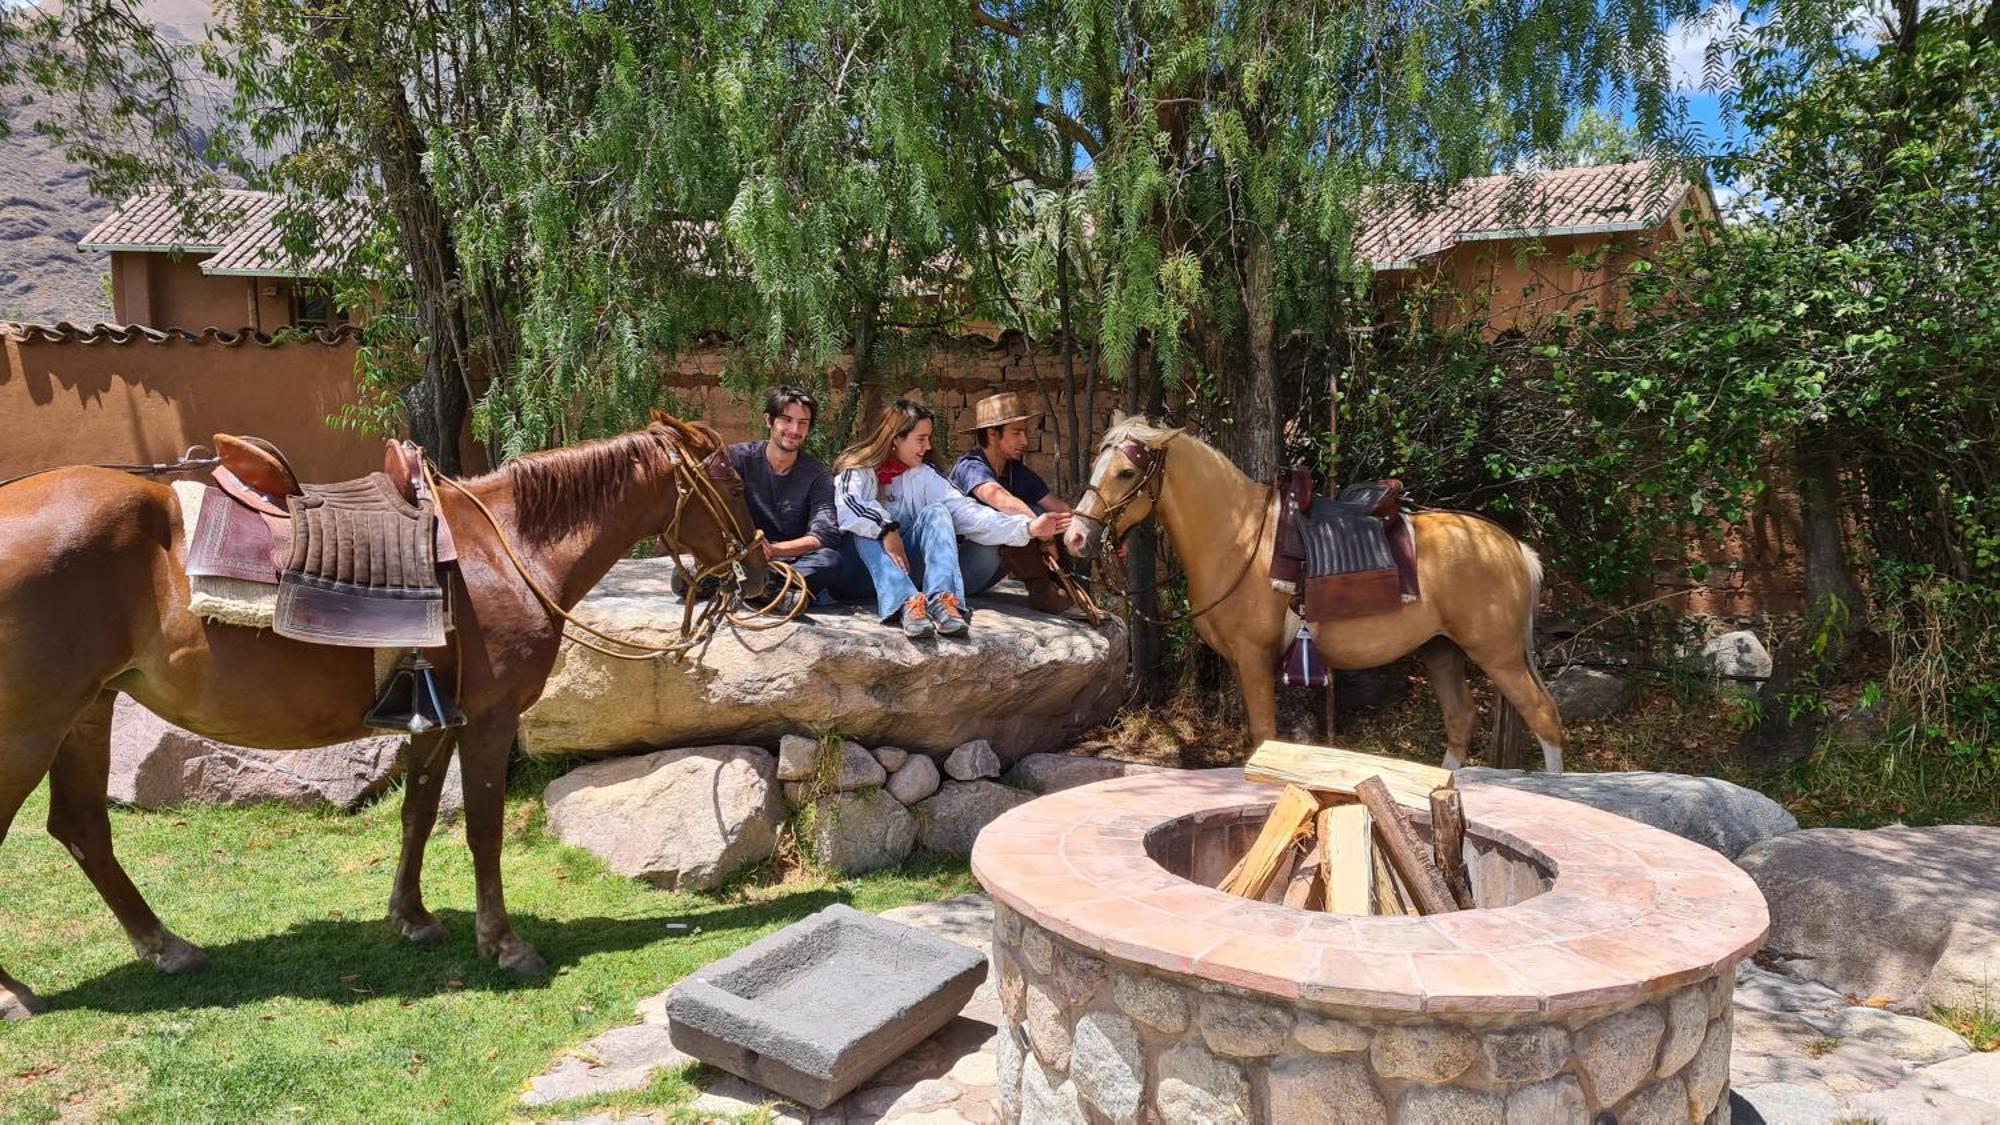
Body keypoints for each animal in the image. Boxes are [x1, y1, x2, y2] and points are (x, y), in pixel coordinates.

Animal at [0, 410, 764, 1016]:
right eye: (732, 486)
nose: (759, 573)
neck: (503, 549)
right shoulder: (489, 719)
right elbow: (483, 828)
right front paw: (504, 944)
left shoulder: (435, 716)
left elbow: (417, 813)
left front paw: (413, 917)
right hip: (30, 730)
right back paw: (16, 992)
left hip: (87, 710)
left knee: (82, 828)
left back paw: (167, 946)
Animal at [1056, 416, 1568, 776]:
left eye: (1126, 472)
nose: (1076, 538)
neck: (1240, 538)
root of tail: (1514, 547)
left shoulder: (1255, 658)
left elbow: (1264, 736)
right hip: (1441, 649)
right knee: (1461, 718)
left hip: (1498, 655)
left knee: (1544, 718)